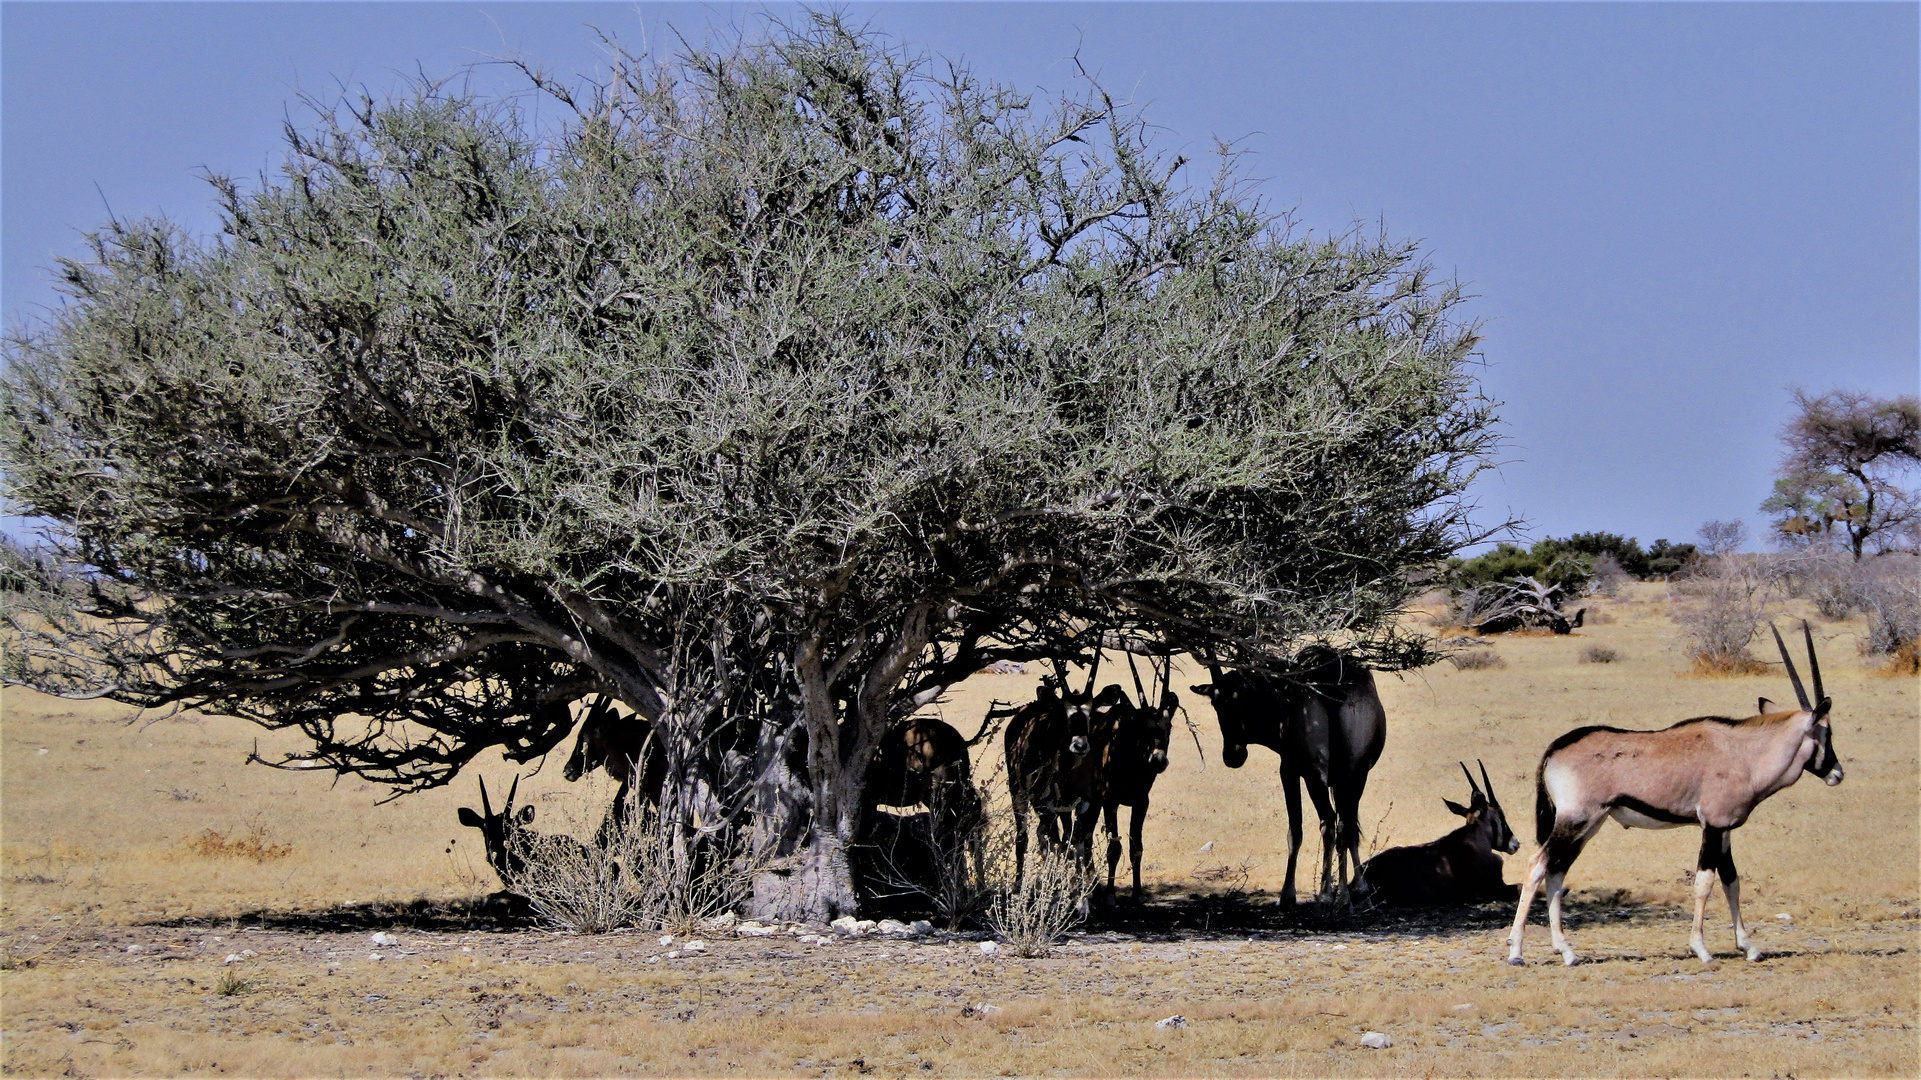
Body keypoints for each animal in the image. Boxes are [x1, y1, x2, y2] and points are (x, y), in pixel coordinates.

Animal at [1183, 645, 1383, 899]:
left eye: (1241, 701)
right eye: (1216, 704)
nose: (1233, 756)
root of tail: (1334, 685)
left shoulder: (1288, 770)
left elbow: (1294, 831)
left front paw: (1287, 893)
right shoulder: (1344, 781)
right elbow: (1349, 827)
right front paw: (1359, 885)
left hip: (1315, 776)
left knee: (1328, 821)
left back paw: (1326, 894)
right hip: (1355, 775)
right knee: (1345, 824)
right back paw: (1348, 893)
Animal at [1506, 618, 1836, 960]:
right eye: (1828, 734)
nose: (1836, 772)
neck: (1744, 754)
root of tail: (1555, 749)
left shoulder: (1723, 829)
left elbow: (1731, 881)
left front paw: (1749, 946)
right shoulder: (1712, 826)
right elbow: (1705, 882)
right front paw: (1701, 949)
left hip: (1588, 826)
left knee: (1556, 872)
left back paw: (1566, 951)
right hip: (1575, 821)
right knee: (1537, 865)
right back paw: (1516, 951)